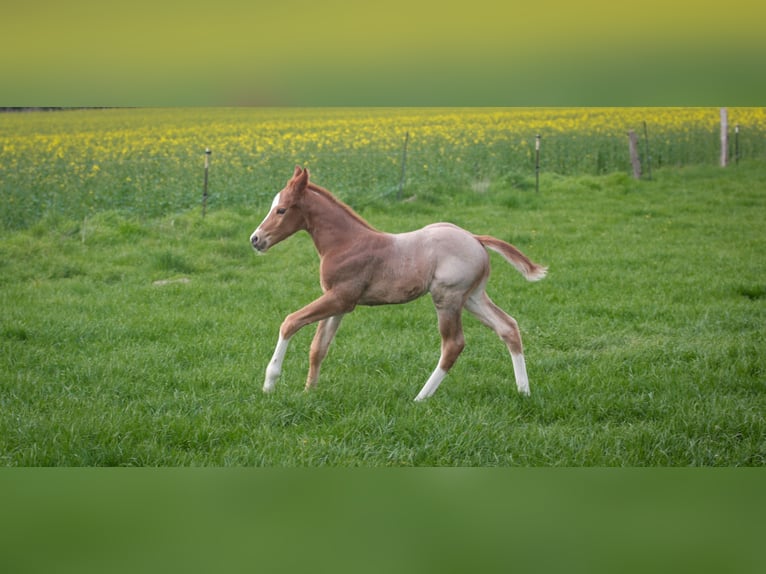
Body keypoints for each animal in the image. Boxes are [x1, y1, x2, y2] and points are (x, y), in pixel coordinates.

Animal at [250, 166, 547, 401]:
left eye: (281, 210)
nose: (255, 239)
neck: (345, 243)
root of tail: (475, 238)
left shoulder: (342, 298)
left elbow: (290, 322)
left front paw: (270, 383)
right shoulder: (338, 303)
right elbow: (318, 348)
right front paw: (308, 392)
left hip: (447, 298)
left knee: (453, 344)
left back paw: (420, 397)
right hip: (473, 297)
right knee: (508, 327)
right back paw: (524, 391)